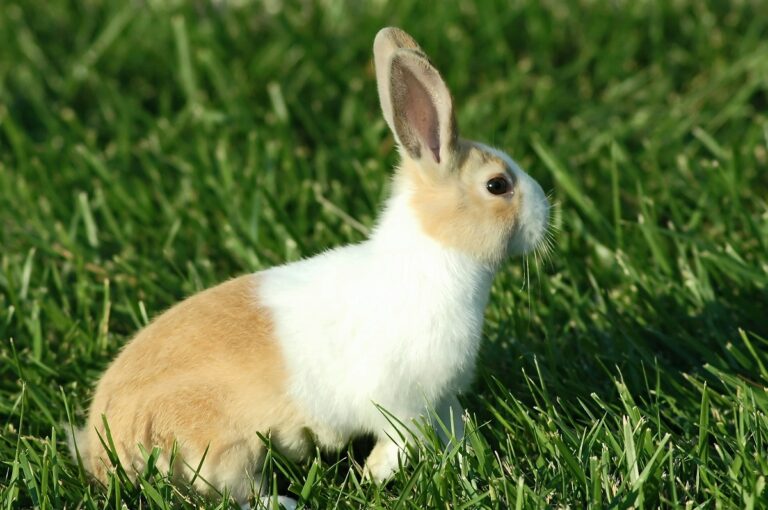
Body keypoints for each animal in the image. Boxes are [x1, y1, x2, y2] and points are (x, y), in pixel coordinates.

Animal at [69, 27, 552, 510]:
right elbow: (400, 443)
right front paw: (374, 476)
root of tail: (103, 447)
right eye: (497, 185)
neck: (436, 253)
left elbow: (452, 435)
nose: (547, 216)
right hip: (223, 448)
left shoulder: (441, 400)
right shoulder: (402, 405)